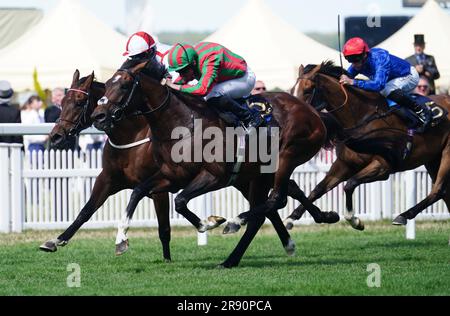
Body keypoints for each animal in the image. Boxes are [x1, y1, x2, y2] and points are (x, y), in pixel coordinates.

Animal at [40, 70, 172, 260]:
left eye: (80, 102)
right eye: (62, 102)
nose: (56, 136)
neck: (132, 138)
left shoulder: (159, 188)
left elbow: (164, 228)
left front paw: (167, 260)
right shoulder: (108, 179)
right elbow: (86, 211)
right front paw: (55, 240)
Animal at [90, 58, 330, 266]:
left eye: (124, 85)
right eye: (107, 84)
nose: (98, 116)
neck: (183, 125)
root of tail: (312, 111)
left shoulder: (214, 176)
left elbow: (180, 201)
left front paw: (210, 222)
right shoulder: (171, 176)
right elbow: (138, 192)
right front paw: (121, 239)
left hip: (286, 157)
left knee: (277, 200)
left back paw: (235, 223)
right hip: (258, 174)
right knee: (263, 214)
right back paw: (231, 260)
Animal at [288, 59, 450, 227]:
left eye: (308, 90)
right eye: (292, 89)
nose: (295, 114)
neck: (361, 118)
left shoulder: (383, 166)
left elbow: (350, 184)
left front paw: (354, 220)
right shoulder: (344, 164)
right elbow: (319, 189)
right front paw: (292, 217)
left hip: (446, 154)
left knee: (438, 190)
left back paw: (403, 215)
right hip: (432, 159)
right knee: (444, 193)